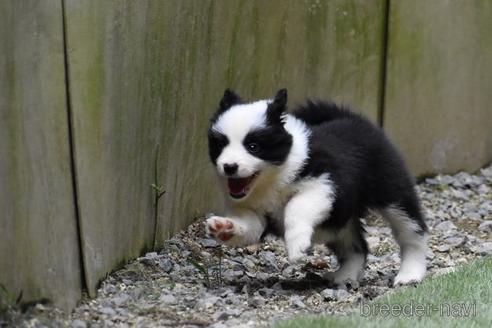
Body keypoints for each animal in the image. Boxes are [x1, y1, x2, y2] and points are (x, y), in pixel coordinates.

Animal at [204, 88, 426, 286]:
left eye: (253, 147)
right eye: (220, 145)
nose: (229, 167)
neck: (273, 177)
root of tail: (351, 118)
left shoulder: (324, 183)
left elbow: (296, 206)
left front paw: (296, 246)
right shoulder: (255, 211)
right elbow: (248, 224)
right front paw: (224, 228)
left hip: (391, 191)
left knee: (411, 232)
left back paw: (410, 274)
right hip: (342, 223)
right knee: (356, 247)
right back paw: (345, 276)